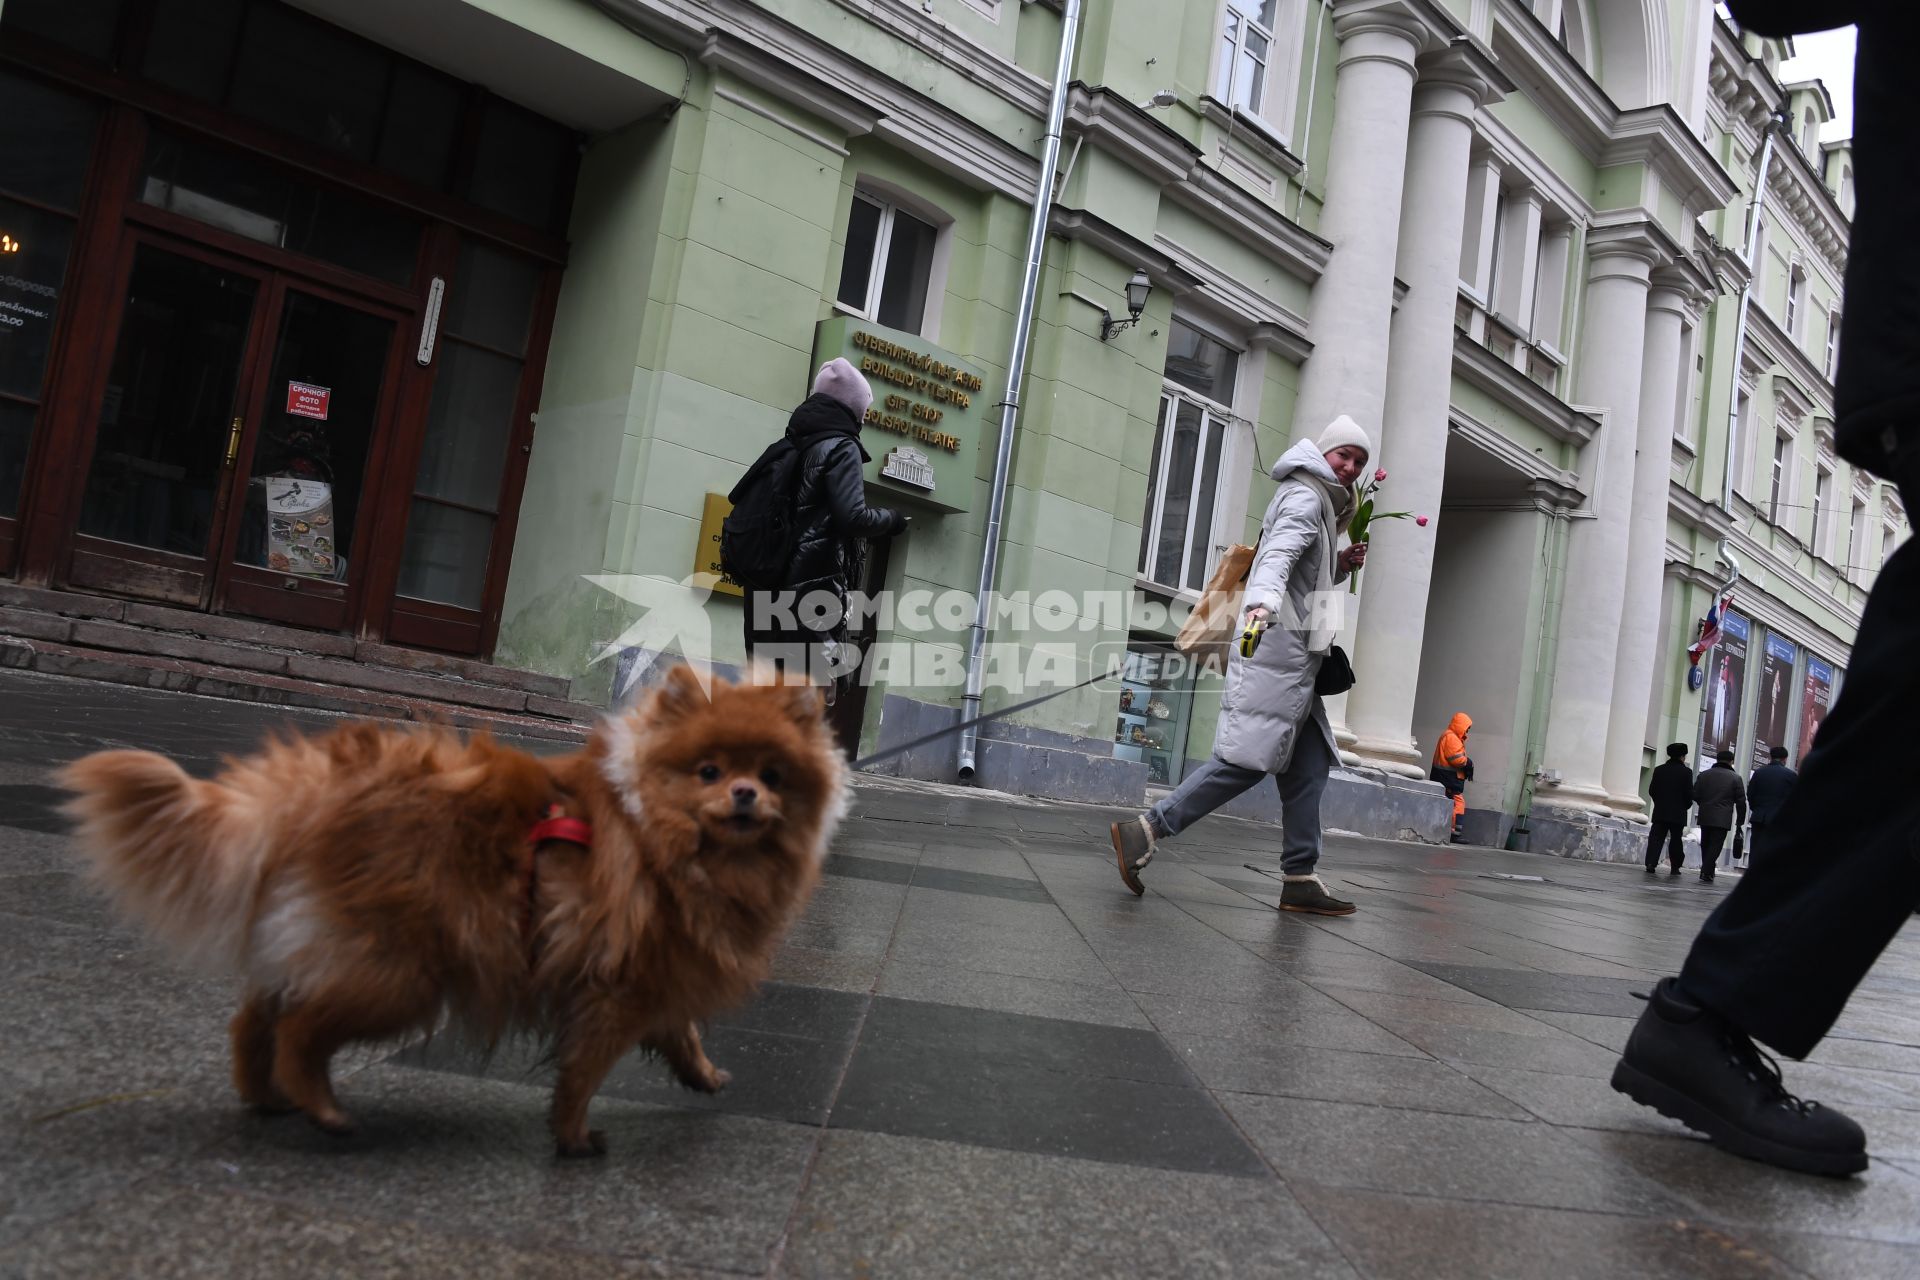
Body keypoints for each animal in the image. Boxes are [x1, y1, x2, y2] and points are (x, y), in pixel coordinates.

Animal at [58, 667, 848, 1159]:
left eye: (772, 775)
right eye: (709, 771)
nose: (745, 793)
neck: (674, 840)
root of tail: (312, 791)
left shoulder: (654, 970)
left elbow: (680, 1032)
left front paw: (703, 1075)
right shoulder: (613, 987)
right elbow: (585, 1070)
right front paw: (573, 1139)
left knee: (256, 1016)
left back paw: (267, 1098)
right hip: (401, 977)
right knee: (300, 1030)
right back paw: (325, 1110)